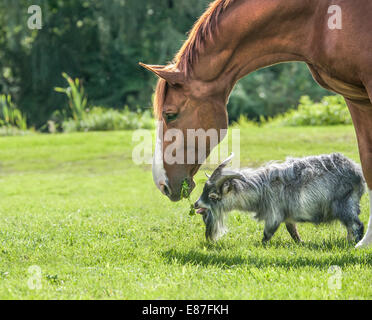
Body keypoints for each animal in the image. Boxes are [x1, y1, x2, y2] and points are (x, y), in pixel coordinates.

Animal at [196, 153, 364, 242]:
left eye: (213, 196)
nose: (196, 204)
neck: (261, 188)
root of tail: (357, 172)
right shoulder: (288, 215)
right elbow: (292, 230)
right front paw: (301, 243)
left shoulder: (274, 213)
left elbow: (267, 233)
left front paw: (260, 245)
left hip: (345, 205)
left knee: (356, 225)